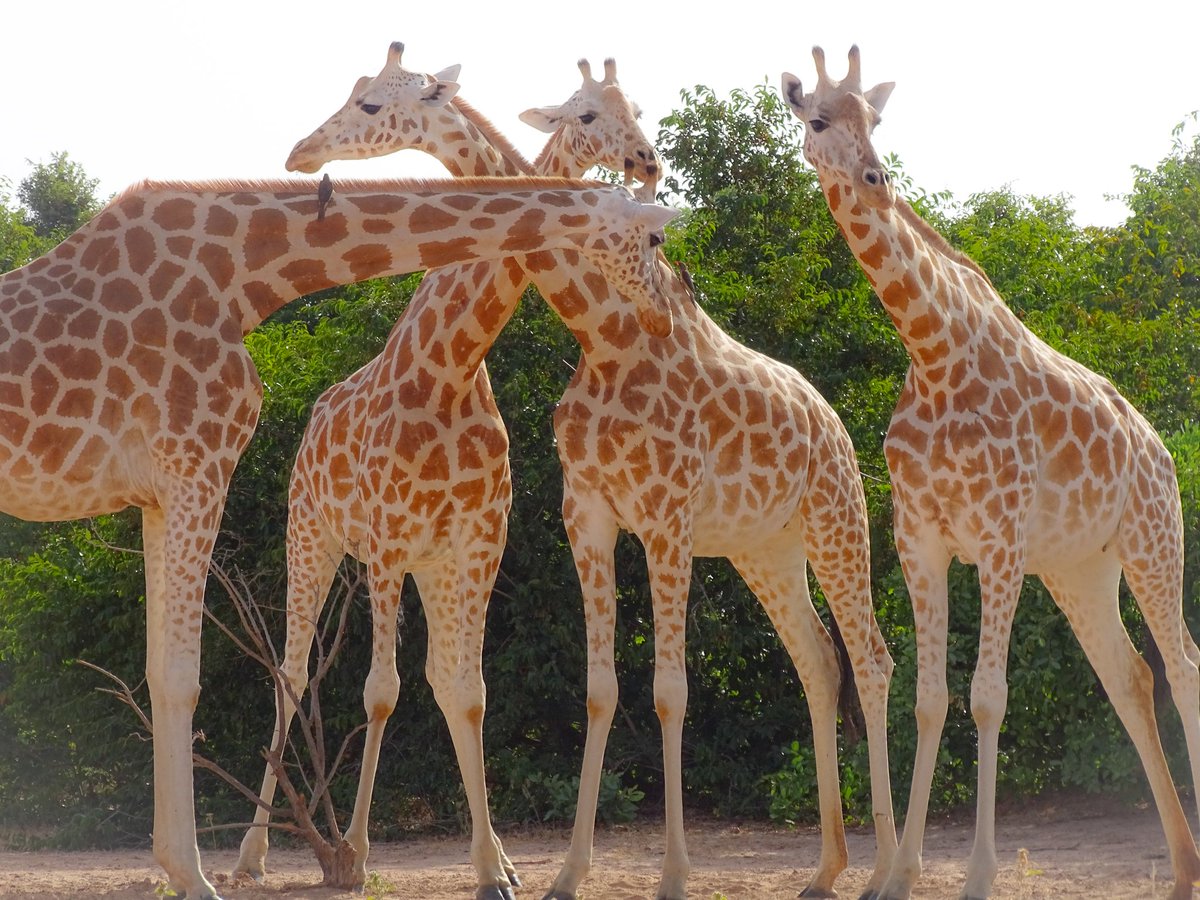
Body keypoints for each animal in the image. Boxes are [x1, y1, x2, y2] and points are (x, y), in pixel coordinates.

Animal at [0, 173, 676, 900]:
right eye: (655, 238)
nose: (662, 322)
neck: (246, 276)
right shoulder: (196, 468)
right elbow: (185, 675)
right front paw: (196, 875)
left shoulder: (163, 492)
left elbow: (163, 670)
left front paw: (178, 866)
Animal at [233, 47, 668, 899]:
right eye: (587, 113)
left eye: (634, 107)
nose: (647, 160)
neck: (453, 366)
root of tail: (312, 418)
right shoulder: (386, 540)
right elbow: (379, 691)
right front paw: (357, 854)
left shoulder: (475, 542)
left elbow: (466, 693)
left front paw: (493, 869)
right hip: (313, 539)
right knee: (293, 672)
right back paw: (253, 855)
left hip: (428, 566)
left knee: (436, 676)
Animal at [783, 45, 1200, 900]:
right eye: (819, 119)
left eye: (876, 120)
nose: (875, 178)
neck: (932, 352)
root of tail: (1158, 447)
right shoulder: (921, 539)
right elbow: (930, 699)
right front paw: (899, 875)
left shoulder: (999, 539)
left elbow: (987, 699)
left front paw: (977, 874)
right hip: (1080, 569)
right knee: (1132, 677)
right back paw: (1181, 870)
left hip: (1153, 540)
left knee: (1184, 667)